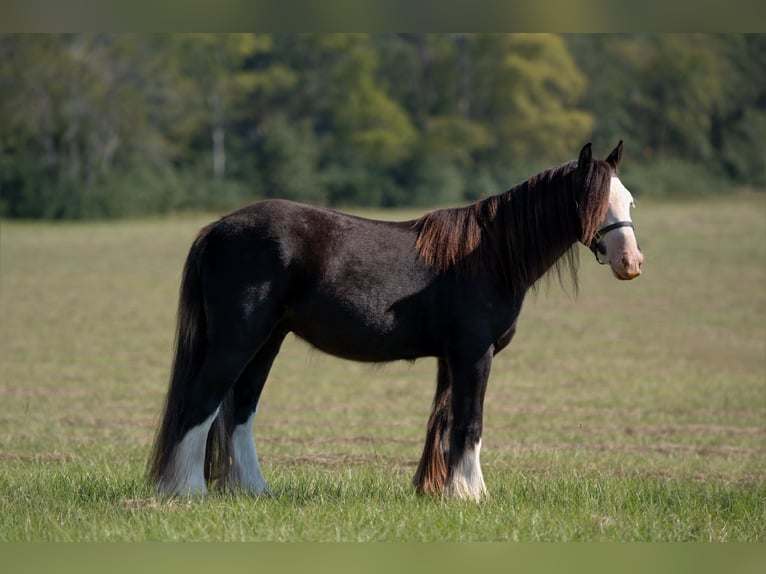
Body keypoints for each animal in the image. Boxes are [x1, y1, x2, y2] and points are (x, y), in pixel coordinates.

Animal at [148, 142, 640, 502]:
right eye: (593, 202)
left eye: (630, 201)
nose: (630, 263)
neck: (488, 256)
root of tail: (215, 229)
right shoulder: (474, 353)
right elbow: (470, 422)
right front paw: (471, 494)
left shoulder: (451, 358)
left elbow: (444, 420)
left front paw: (437, 490)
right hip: (238, 339)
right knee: (201, 402)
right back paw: (188, 491)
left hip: (267, 341)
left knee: (241, 410)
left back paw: (254, 490)